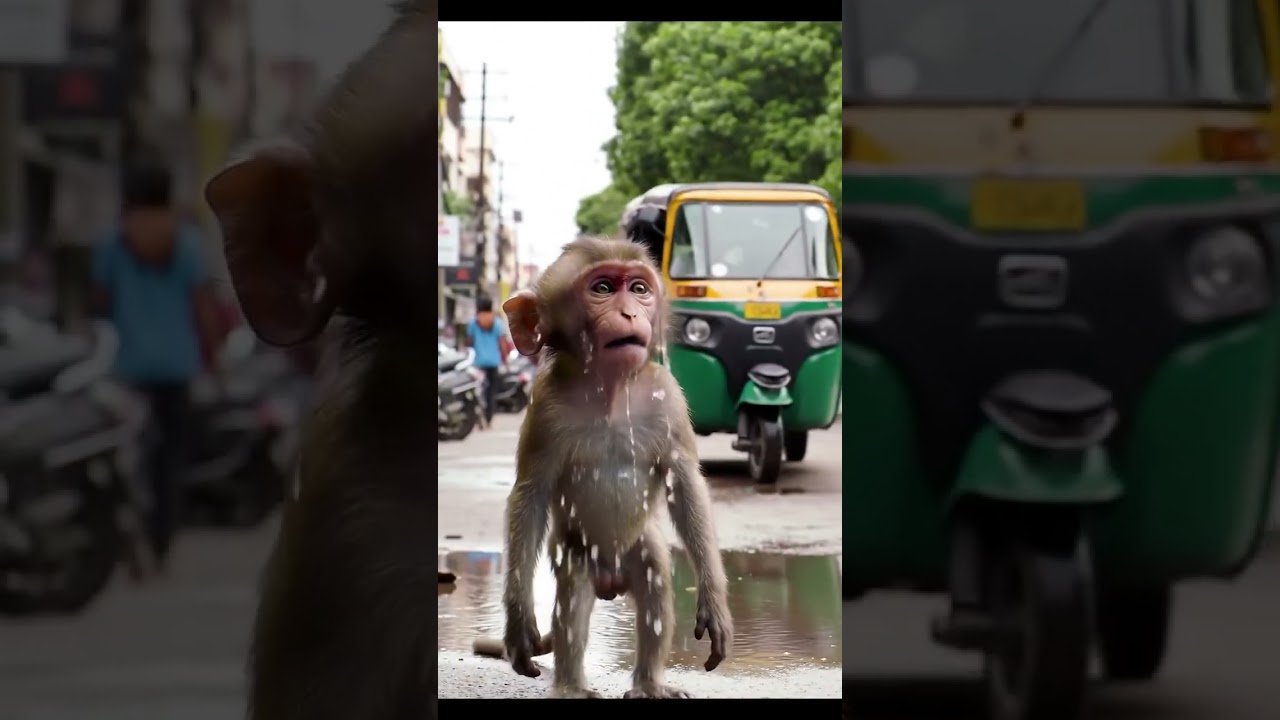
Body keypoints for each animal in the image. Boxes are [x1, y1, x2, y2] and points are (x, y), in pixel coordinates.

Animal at [471, 236, 733, 699]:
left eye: (639, 289)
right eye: (603, 289)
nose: (630, 313)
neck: (609, 389)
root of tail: (612, 582)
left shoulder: (667, 395)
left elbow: (685, 484)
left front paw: (714, 602)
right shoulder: (544, 407)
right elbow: (530, 494)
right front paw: (519, 621)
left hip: (637, 546)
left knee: (654, 576)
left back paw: (649, 684)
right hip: (575, 552)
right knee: (572, 598)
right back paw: (571, 686)